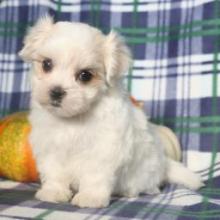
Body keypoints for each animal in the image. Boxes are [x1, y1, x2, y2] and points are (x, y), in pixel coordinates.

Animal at [18, 16, 203, 208]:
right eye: (47, 64)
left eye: (85, 76)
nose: (56, 91)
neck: (74, 118)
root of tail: (164, 163)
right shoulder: (49, 147)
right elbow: (54, 171)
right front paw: (53, 192)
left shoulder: (104, 149)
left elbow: (95, 175)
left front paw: (90, 197)